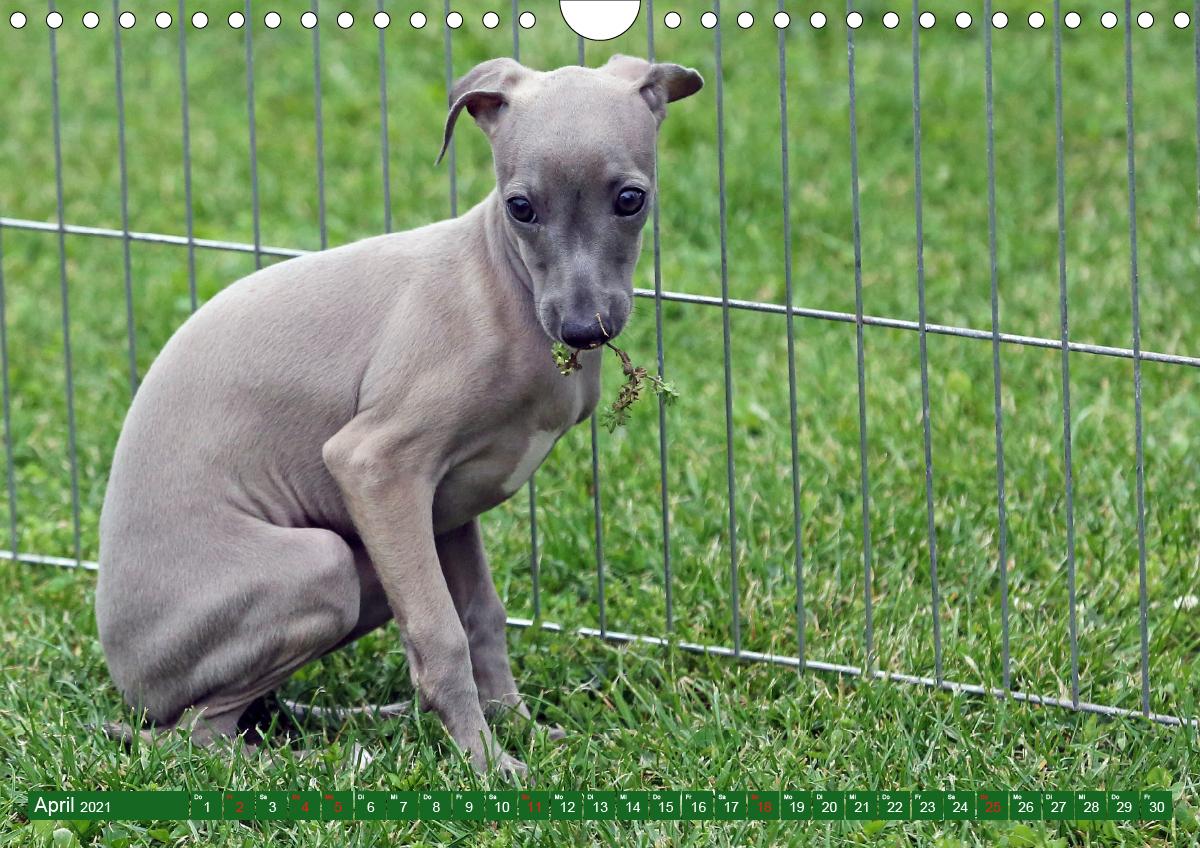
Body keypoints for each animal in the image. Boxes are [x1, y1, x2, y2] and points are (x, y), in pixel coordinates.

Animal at [100, 56, 700, 777]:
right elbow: (442, 635)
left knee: (233, 714)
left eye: (631, 200)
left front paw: (516, 724)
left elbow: (482, 618)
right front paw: (485, 764)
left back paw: (344, 720)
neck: (505, 285)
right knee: (193, 735)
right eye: (520, 207)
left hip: (370, 573)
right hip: (321, 568)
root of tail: (129, 680)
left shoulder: (447, 507)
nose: (584, 330)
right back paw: (323, 762)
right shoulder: (377, 467)